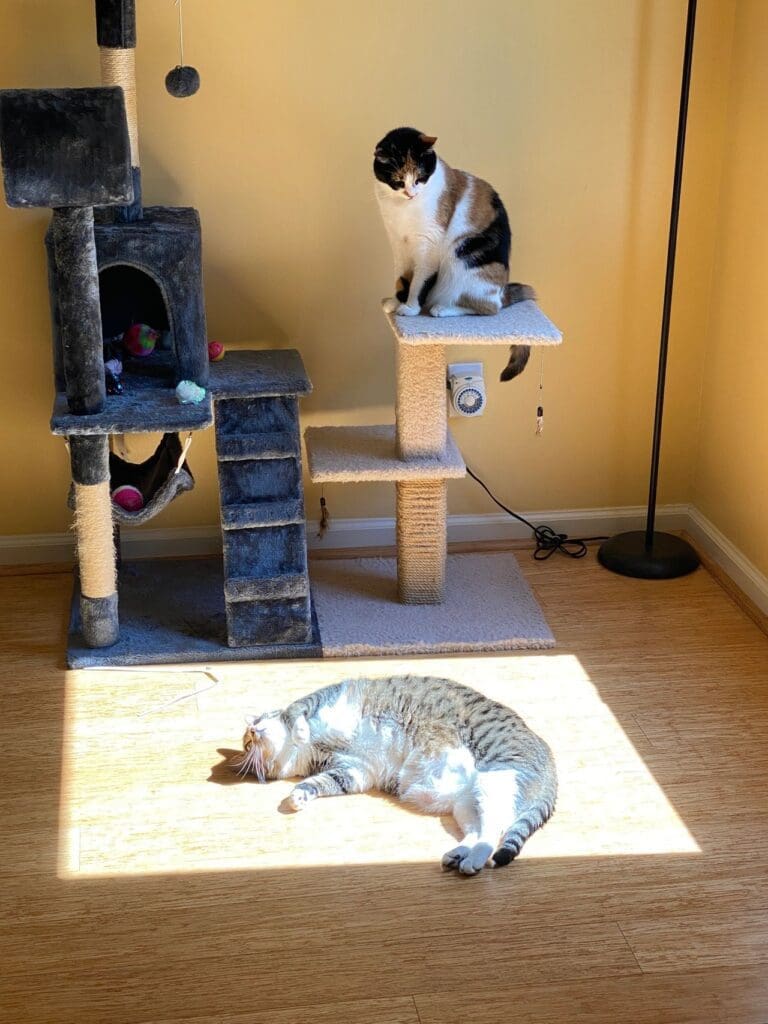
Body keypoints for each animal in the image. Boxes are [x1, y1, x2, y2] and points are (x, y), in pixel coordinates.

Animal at [231, 675, 557, 876]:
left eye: (255, 724)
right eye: (247, 744)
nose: (253, 732)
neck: (303, 750)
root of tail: (550, 762)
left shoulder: (323, 699)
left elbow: (296, 712)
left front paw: (299, 730)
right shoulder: (353, 770)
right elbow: (317, 783)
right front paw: (297, 796)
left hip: (496, 780)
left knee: (493, 831)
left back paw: (472, 861)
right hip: (467, 803)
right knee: (479, 832)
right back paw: (459, 855)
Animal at [374, 126, 536, 382]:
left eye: (419, 177)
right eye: (398, 180)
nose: (411, 193)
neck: (404, 209)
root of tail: (502, 292)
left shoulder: (428, 246)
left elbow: (418, 282)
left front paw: (410, 308)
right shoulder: (399, 245)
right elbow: (402, 278)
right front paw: (396, 301)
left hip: (464, 260)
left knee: (487, 308)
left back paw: (443, 309)